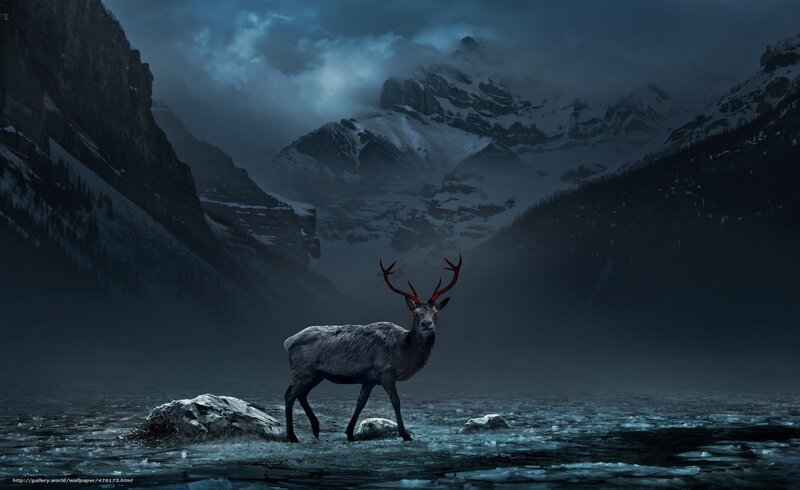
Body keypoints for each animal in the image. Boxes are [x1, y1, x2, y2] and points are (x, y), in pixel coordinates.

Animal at [283, 254, 462, 442]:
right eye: (415, 313)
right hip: (302, 370)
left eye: (436, 313)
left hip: (316, 374)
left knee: (301, 394)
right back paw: (292, 435)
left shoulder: (369, 378)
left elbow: (361, 402)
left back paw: (316, 428)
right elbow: (396, 401)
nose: (426, 323)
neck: (404, 351)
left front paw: (350, 433)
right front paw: (405, 434)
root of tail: (288, 341)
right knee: (289, 395)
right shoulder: (386, 372)